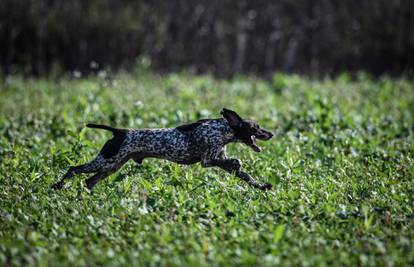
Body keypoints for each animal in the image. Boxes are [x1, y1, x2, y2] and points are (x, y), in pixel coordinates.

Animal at [52, 108, 274, 192]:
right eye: (256, 127)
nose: (271, 134)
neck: (222, 130)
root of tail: (119, 132)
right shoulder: (208, 160)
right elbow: (235, 162)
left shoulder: (219, 160)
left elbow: (247, 177)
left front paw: (262, 186)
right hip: (105, 160)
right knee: (73, 169)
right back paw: (57, 186)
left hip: (111, 166)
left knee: (88, 181)